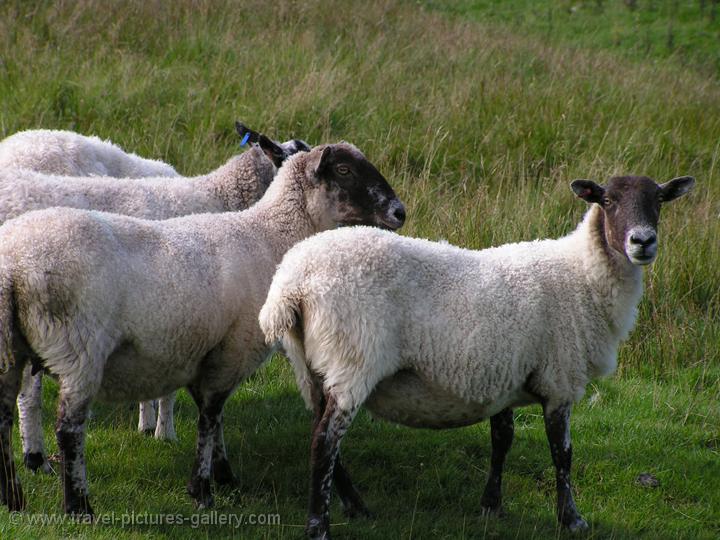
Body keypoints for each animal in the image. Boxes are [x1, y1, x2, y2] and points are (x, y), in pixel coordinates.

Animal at [258, 175, 692, 536]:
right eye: (608, 200)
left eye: (658, 200)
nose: (642, 242)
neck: (581, 275)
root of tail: (292, 284)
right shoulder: (560, 379)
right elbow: (563, 455)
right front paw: (572, 519)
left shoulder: (505, 375)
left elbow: (503, 440)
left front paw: (491, 506)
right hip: (352, 359)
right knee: (324, 443)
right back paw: (319, 526)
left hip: (311, 367)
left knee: (323, 436)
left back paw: (356, 507)